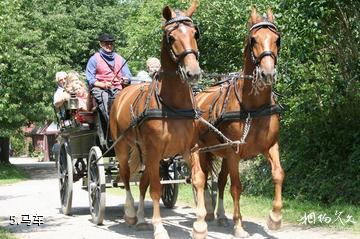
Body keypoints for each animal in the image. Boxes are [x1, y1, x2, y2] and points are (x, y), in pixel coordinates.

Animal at [108, 1, 207, 239]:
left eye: (195, 33)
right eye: (171, 37)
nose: (193, 73)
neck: (174, 106)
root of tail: (122, 92)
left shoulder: (190, 148)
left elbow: (198, 179)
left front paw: (200, 225)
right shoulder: (153, 151)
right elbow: (154, 187)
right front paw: (160, 227)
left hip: (146, 152)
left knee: (142, 181)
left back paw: (142, 219)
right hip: (123, 147)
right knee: (126, 176)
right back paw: (131, 213)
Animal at [193, 8, 286, 238]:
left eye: (277, 39)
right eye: (253, 40)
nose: (267, 73)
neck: (253, 107)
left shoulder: (271, 146)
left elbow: (278, 175)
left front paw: (275, 218)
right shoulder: (234, 152)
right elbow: (236, 187)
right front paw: (239, 225)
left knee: (219, 181)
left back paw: (218, 215)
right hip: (202, 150)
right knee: (201, 179)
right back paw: (205, 215)